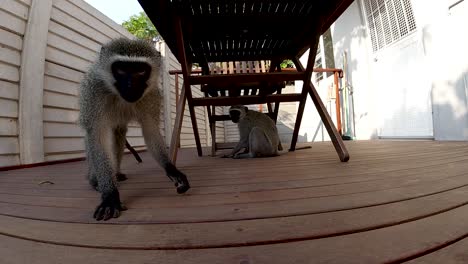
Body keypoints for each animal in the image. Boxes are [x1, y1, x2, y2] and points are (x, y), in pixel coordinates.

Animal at [78, 37, 190, 221]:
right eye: (121, 69)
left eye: (140, 70)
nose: (130, 86)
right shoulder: (94, 91)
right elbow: (97, 136)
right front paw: (109, 195)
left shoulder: (151, 95)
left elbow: (151, 130)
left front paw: (171, 169)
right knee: (93, 137)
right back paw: (95, 180)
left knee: (118, 134)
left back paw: (116, 173)